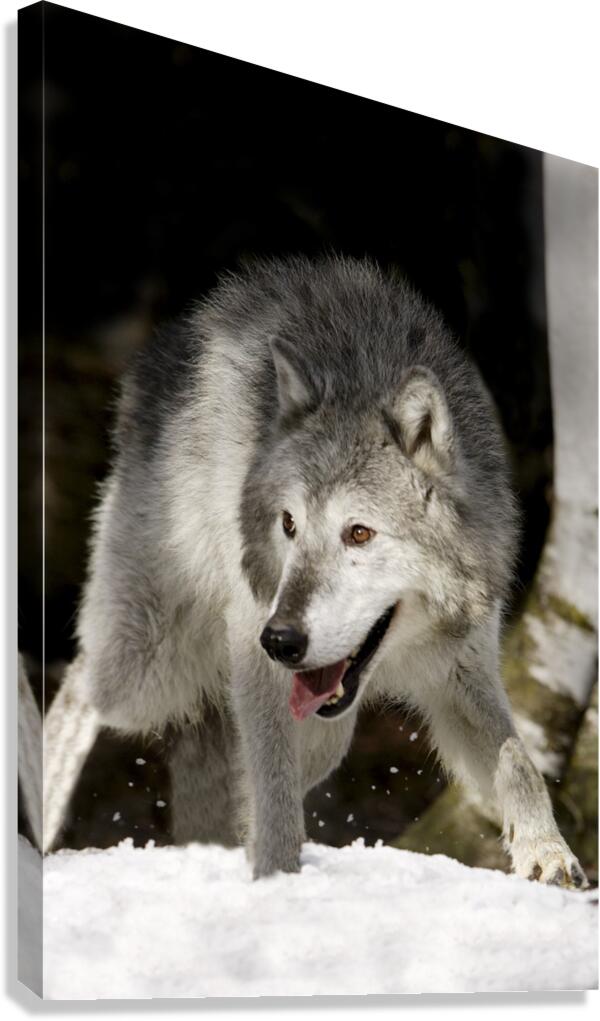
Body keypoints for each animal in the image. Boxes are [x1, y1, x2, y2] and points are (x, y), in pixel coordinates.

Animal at [43, 255, 587, 888]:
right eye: (288, 525)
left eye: (359, 533)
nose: (281, 639)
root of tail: (151, 360)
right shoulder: (250, 649)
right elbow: (274, 789)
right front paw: (278, 878)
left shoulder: (463, 666)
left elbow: (518, 761)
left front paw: (548, 853)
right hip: (150, 670)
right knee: (76, 689)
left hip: (320, 724)